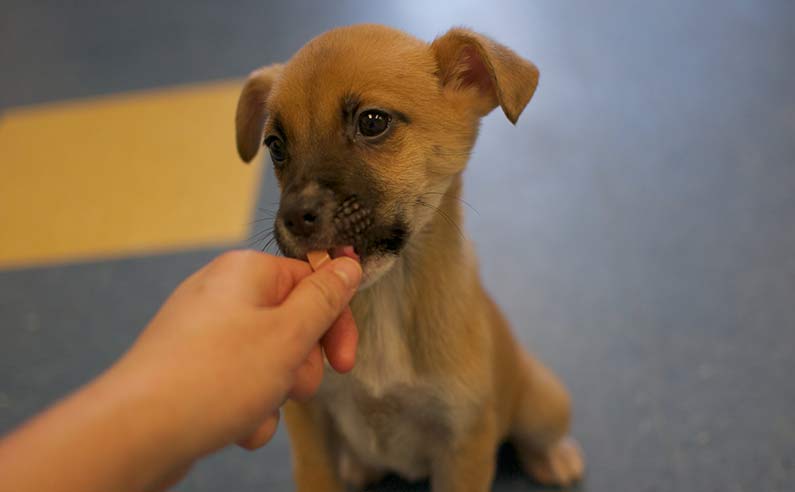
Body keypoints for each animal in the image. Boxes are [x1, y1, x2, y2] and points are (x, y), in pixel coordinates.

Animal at [236, 24, 584, 492]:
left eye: (372, 122)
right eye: (275, 146)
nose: (294, 217)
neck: (383, 300)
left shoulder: (465, 441)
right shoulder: (310, 426)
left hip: (543, 401)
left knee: (538, 435)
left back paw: (555, 458)